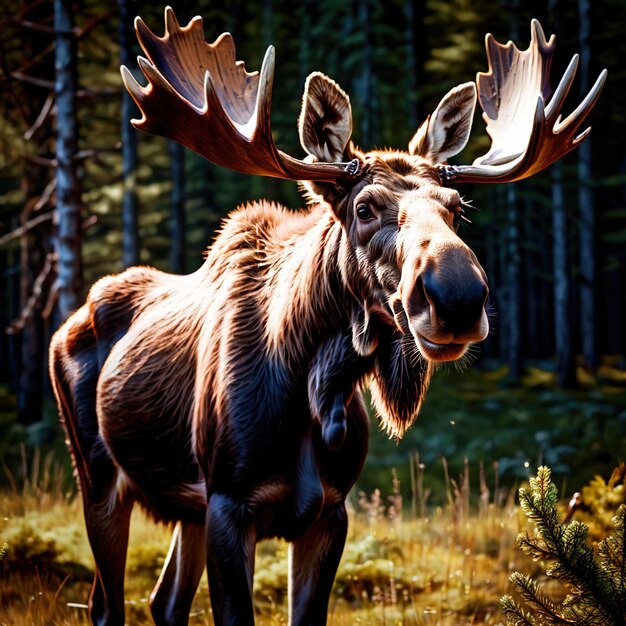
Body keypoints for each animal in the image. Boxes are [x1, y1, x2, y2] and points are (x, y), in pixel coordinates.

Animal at [50, 9, 604, 624]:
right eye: (364, 208)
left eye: (457, 209)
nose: (458, 297)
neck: (316, 384)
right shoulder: (228, 503)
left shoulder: (329, 511)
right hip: (98, 474)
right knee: (105, 603)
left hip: (182, 506)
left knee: (164, 600)